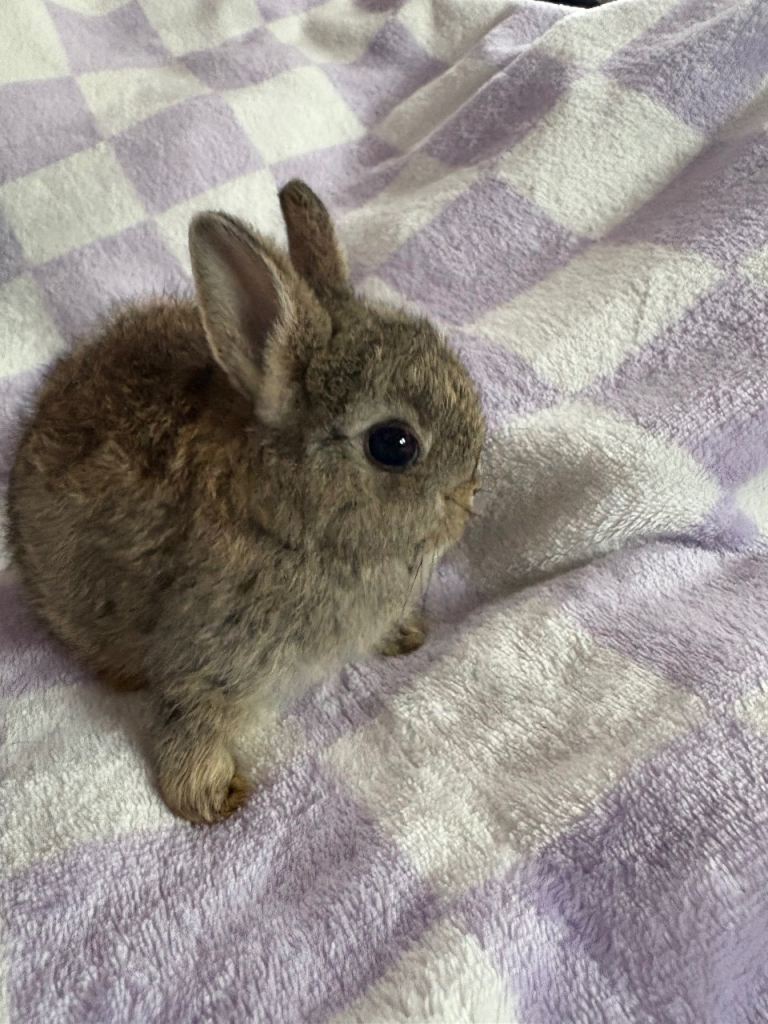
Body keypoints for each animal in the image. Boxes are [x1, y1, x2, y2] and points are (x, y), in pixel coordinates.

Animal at [7, 180, 485, 825]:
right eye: (394, 444)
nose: (467, 496)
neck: (284, 519)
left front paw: (404, 635)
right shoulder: (207, 651)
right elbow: (192, 718)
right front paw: (209, 798)